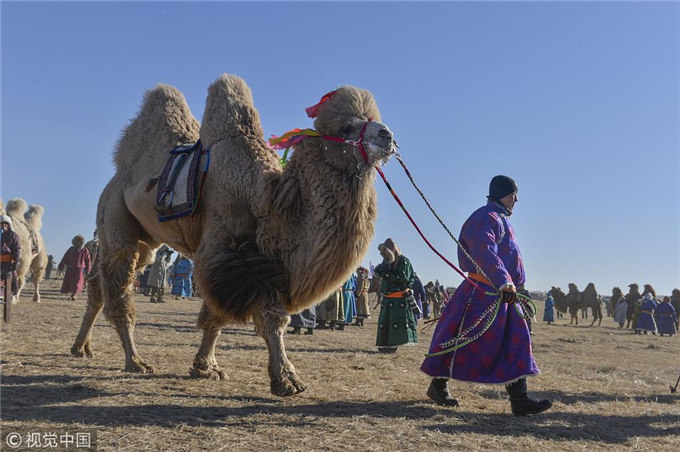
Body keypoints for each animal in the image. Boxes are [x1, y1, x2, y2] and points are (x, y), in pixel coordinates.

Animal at [69, 74, 396, 396]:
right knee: (119, 281)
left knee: (99, 283)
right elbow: (270, 315)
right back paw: (135, 361)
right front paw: (287, 380)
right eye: (346, 127)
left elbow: (217, 316)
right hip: (115, 213)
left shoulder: (235, 261)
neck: (268, 202)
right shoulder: (227, 251)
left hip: (147, 238)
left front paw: (205, 367)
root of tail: (117, 174)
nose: (388, 136)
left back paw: (81, 347)